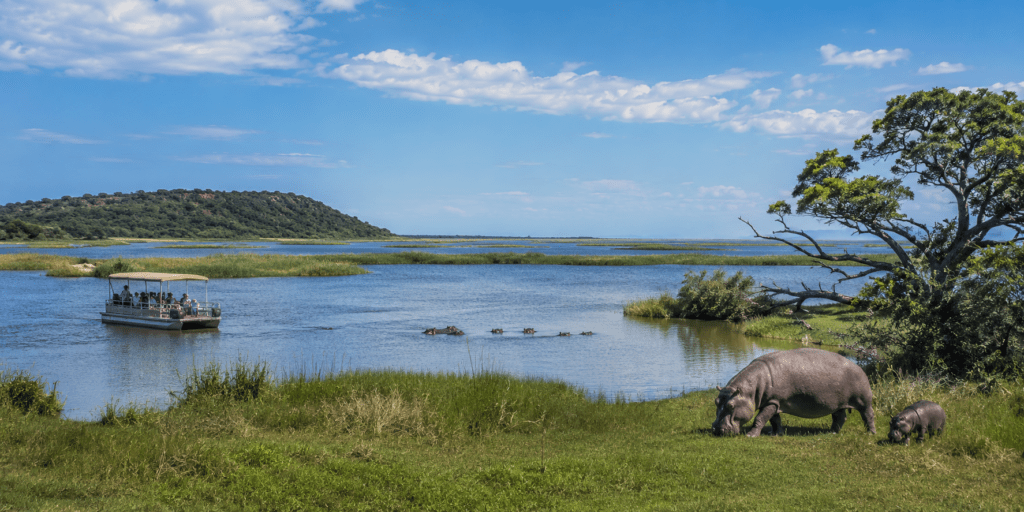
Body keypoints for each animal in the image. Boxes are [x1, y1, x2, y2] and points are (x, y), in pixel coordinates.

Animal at [712, 348, 875, 437]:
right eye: (716, 401)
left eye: (731, 406)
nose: (716, 429)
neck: (751, 390)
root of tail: (859, 367)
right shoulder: (773, 402)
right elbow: (774, 420)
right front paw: (776, 434)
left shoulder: (772, 402)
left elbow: (760, 418)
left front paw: (751, 435)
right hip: (838, 403)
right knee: (840, 417)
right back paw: (833, 432)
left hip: (864, 401)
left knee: (868, 415)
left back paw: (871, 433)